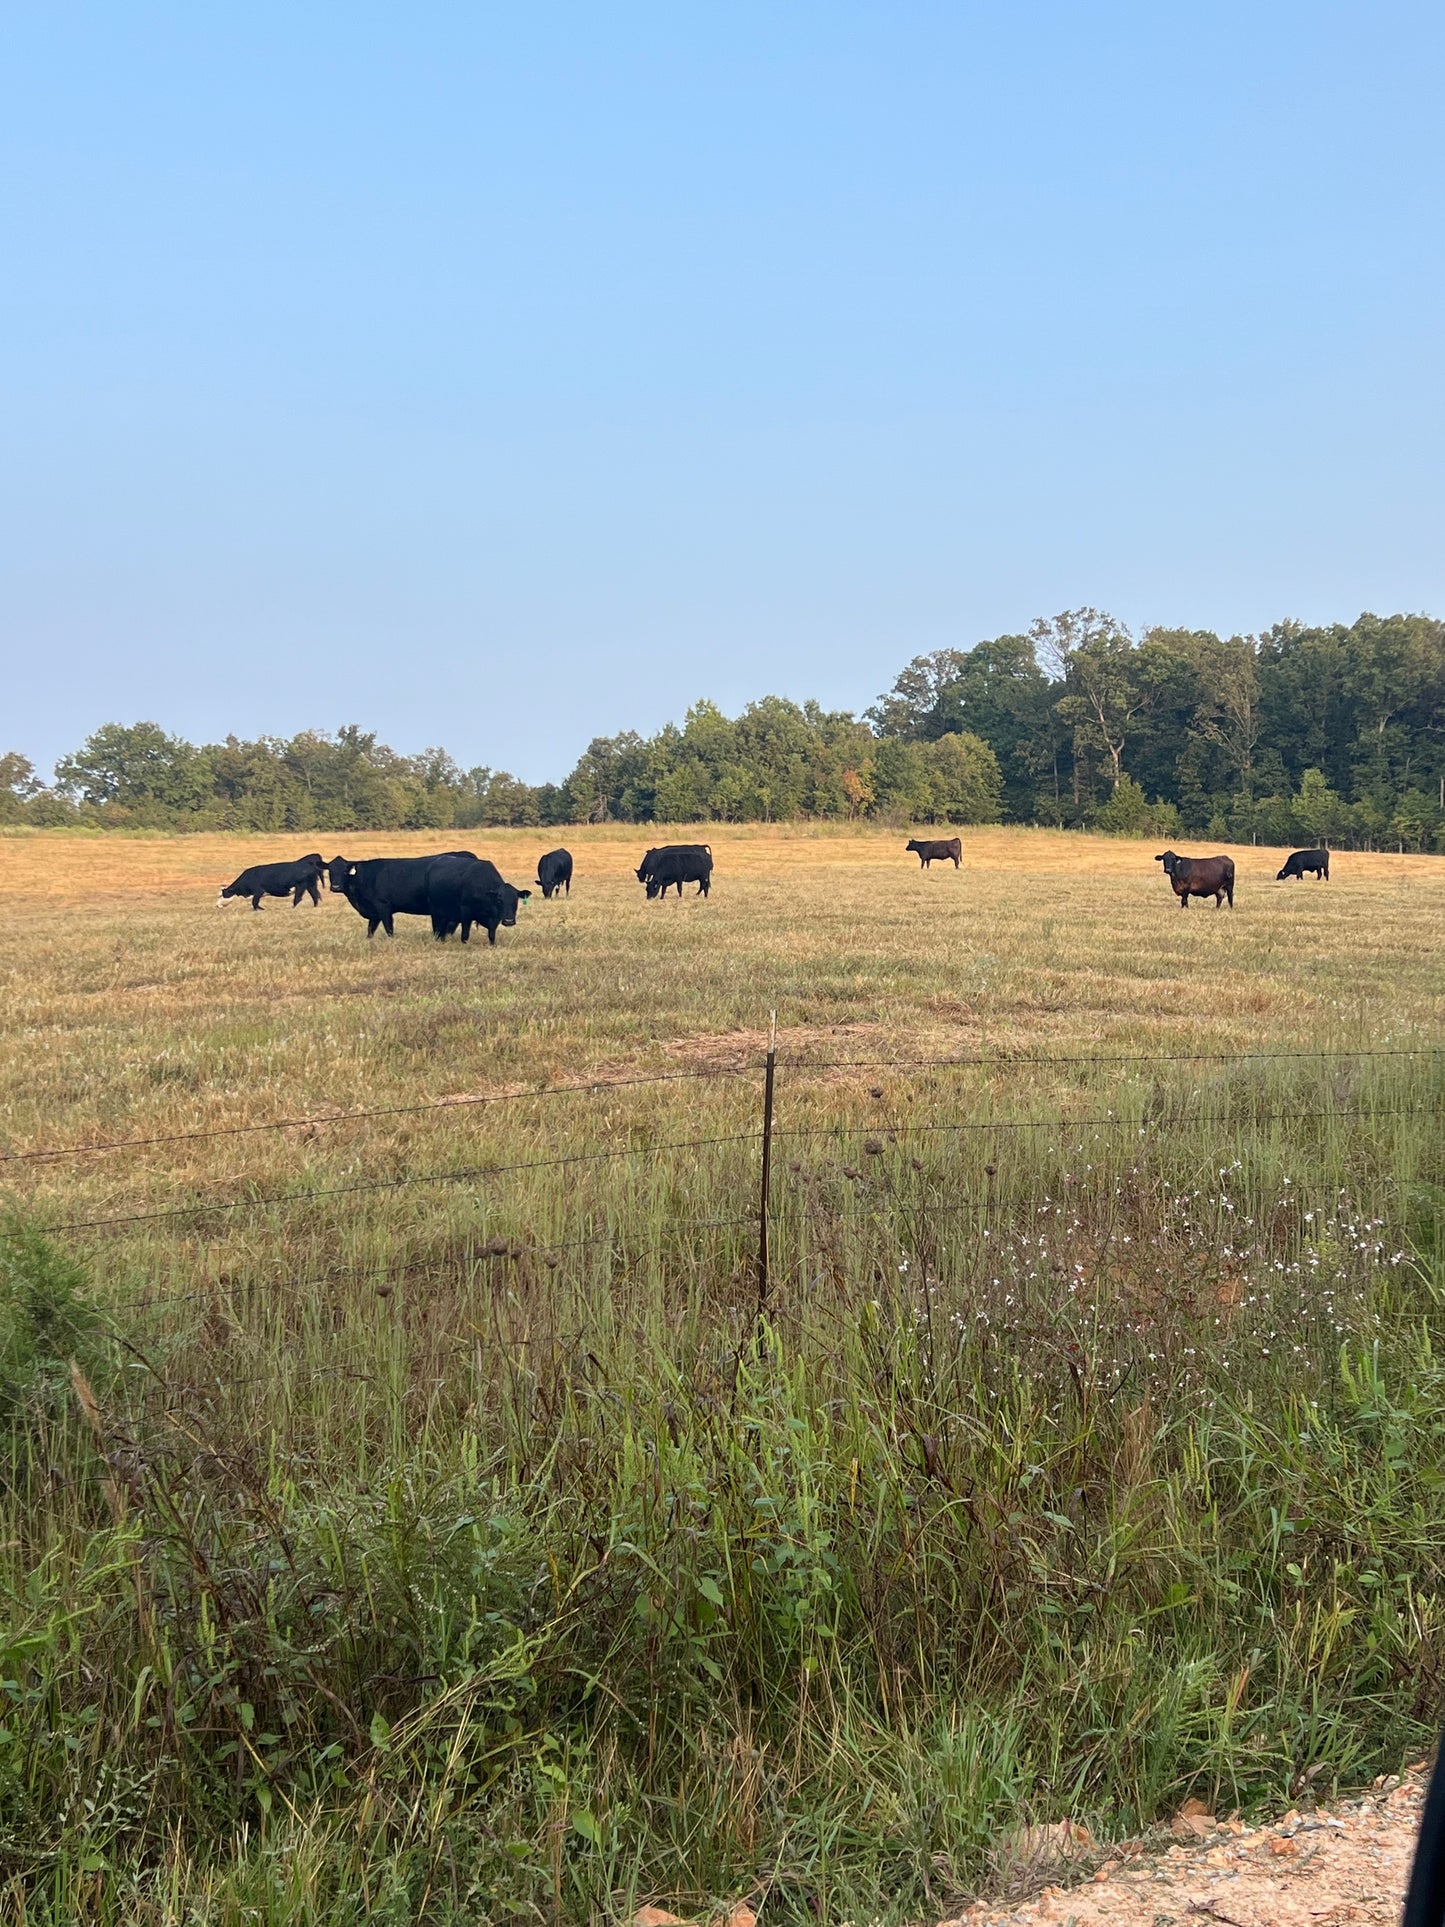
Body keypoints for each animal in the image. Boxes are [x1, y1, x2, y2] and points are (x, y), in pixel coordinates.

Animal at [327, 851, 475, 940]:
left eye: (345, 872)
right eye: (330, 871)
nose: (336, 887)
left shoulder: (383, 906)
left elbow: (388, 927)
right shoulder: (374, 911)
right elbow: (370, 929)